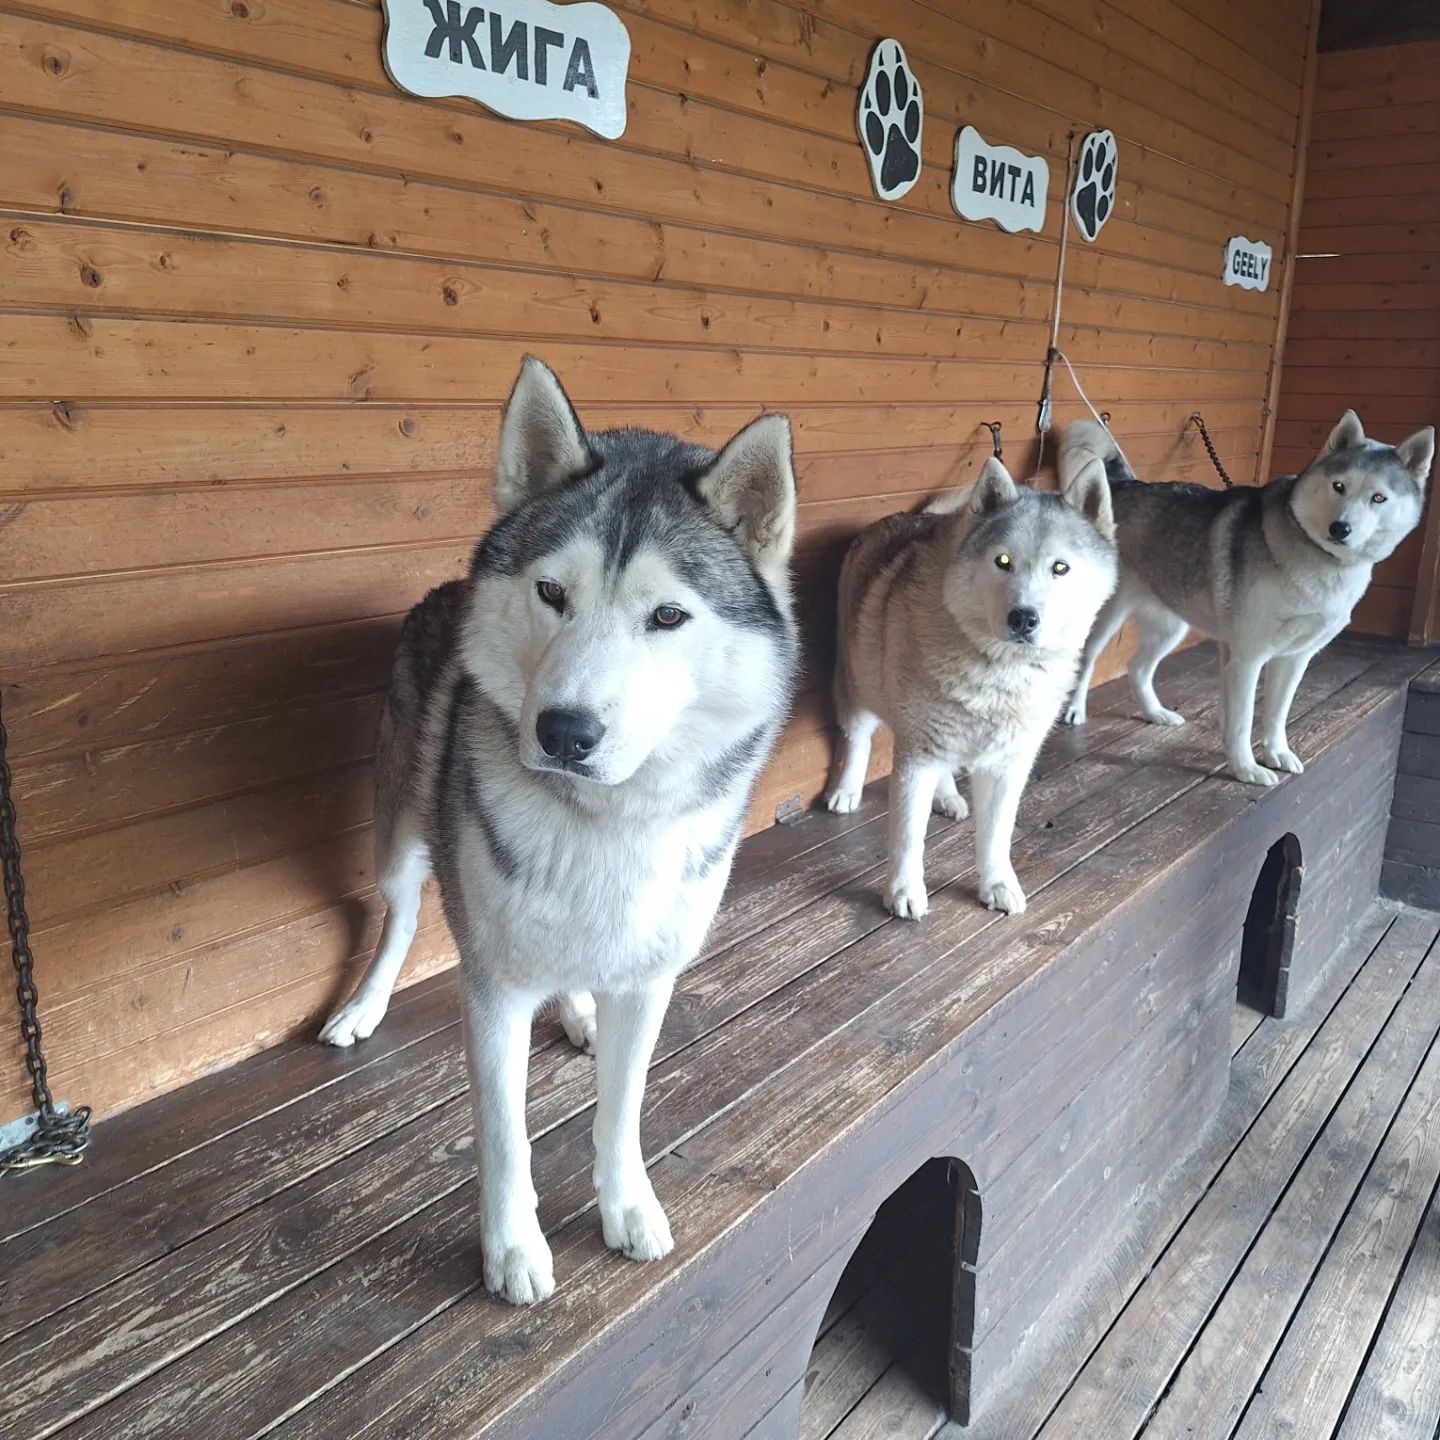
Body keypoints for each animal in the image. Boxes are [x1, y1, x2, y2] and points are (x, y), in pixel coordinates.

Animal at [313, 357, 800, 1307]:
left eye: (667, 616)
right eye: (551, 593)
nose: (564, 733)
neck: (605, 826)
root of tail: (442, 592)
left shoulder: (649, 979)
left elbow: (622, 1110)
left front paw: (627, 1206)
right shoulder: (493, 990)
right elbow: (506, 1136)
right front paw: (512, 1250)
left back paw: (575, 1010)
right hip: (401, 840)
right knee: (395, 918)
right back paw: (364, 1008)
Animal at [829, 455, 1117, 915]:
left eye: (1060, 568)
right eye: (1003, 561)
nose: (1023, 618)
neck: (999, 672)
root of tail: (904, 516)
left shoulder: (1007, 766)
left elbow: (996, 835)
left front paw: (996, 883)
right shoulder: (917, 755)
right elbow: (909, 835)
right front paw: (904, 891)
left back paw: (947, 797)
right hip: (855, 684)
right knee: (858, 739)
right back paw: (847, 791)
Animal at [1059, 411, 1428, 783]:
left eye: (1378, 498)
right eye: (1339, 486)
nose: (1340, 529)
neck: (1319, 557)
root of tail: (1127, 485)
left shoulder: (1294, 659)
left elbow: (1277, 714)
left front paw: (1277, 753)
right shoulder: (1247, 657)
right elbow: (1242, 720)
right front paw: (1246, 769)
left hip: (1171, 626)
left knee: (1137, 668)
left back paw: (1156, 713)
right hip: (1102, 620)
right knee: (1086, 660)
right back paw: (1075, 710)